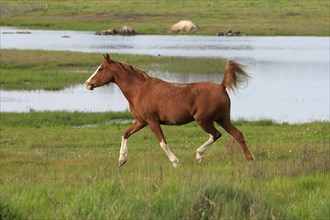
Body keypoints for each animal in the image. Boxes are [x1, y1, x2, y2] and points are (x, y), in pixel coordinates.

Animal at [85, 53, 253, 167]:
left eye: (101, 68)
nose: (87, 84)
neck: (139, 91)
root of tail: (221, 86)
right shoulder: (141, 121)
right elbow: (125, 134)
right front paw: (121, 160)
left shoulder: (152, 121)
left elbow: (162, 143)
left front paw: (176, 162)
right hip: (222, 118)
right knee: (238, 134)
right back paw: (250, 159)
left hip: (204, 120)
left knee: (216, 135)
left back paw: (199, 155)